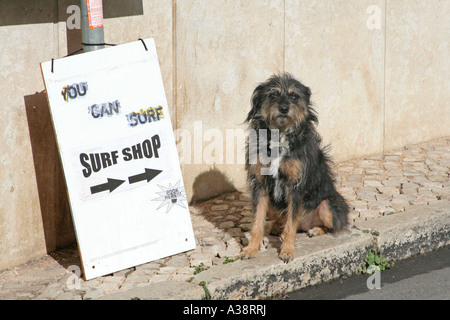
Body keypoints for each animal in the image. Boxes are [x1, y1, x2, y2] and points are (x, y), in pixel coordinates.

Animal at [241, 72, 350, 262]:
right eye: (273, 94)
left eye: (293, 96)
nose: (284, 108)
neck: (280, 134)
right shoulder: (260, 185)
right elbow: (257, 223)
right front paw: (251, 248)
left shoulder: (295, 186)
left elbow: (291, 225)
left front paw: (287, 251)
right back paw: (276, 228)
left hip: (327, 206)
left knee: (326, 225)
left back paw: (314, 230)